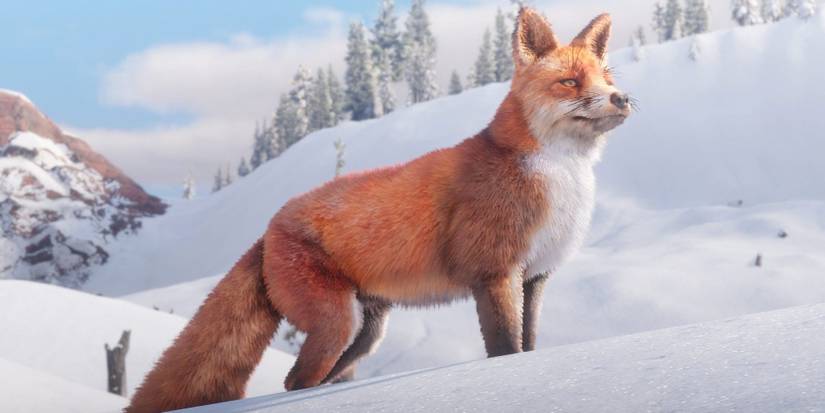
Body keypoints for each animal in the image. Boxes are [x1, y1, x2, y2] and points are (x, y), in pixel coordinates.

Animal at [126, 8, 632, 413]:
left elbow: (529, 344)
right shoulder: (494, 273)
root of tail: (268, 228)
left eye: (607, 79)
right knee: (294, 382)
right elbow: (506, 349)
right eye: (570, 82)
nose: (622, 98)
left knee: (307, 380)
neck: (558, 179)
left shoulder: (536, 277)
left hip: (365, 334)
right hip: (337, 324)